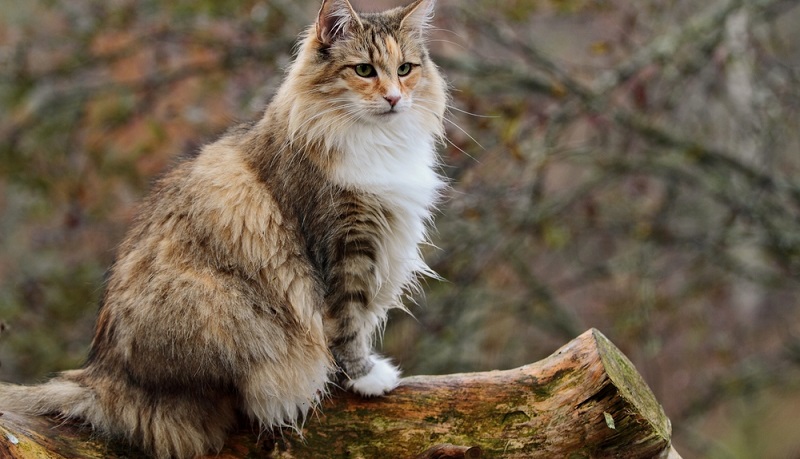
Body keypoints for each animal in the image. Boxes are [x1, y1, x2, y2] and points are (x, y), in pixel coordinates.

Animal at [0, 0, 446, 458]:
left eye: (405, 69)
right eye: (364, 70)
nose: (394, 98)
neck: (375, 142)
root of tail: (102, 377)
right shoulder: (341, 247)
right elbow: (347, 326)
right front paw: (366, 376)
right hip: (220, 304)